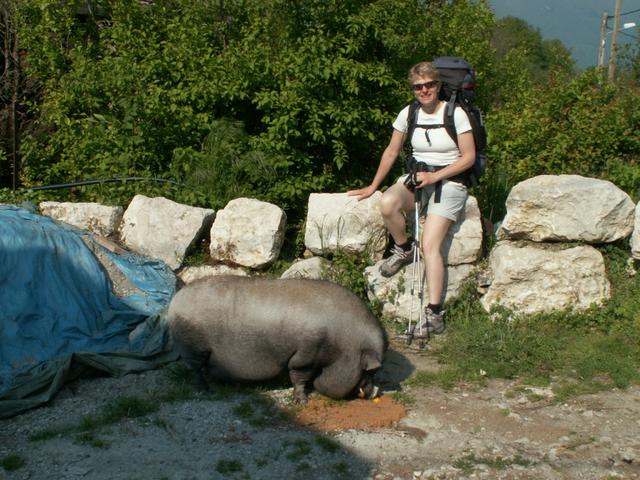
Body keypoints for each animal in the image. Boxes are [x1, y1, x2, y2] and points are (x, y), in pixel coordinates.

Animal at [165, 276, 384, 404]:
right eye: (370, 371)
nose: (375, 392)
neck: (343, 345)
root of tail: (175, 301)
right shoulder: (306, 356)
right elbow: (298, 376)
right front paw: (303, 402)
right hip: (194, 349)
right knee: (195, 370)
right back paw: (205, 391)